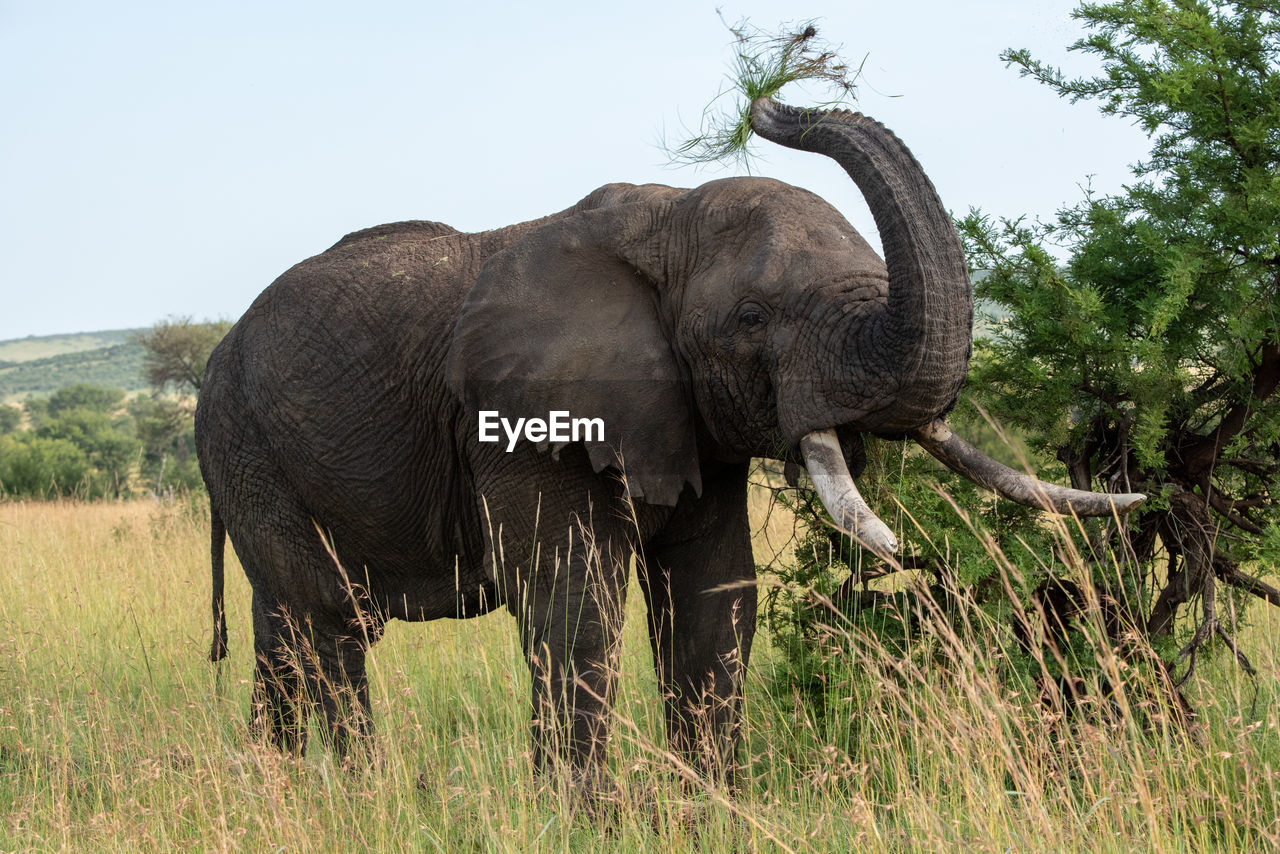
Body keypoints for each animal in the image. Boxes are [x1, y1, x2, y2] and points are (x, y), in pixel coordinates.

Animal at [194, 98, 1146, 788]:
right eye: (752, 318)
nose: (773, 103)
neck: (659, 222)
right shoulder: (520, 427)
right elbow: (575, 602)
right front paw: (584, 823)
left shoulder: (691, 423)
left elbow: (714, 594)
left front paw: (716, 810)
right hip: (244, 446)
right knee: (330, 627)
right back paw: (360, 797)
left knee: (283, 635)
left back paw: (276, 791)